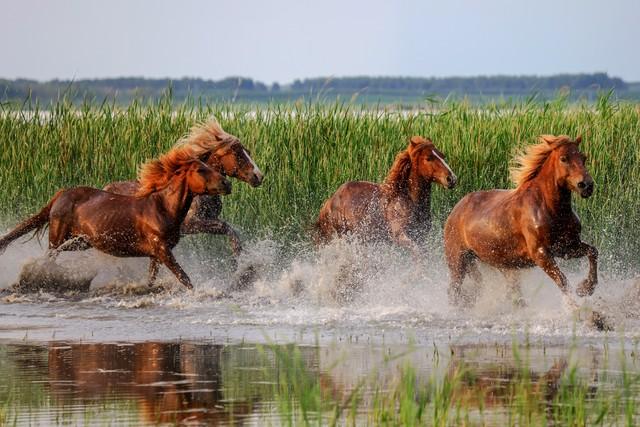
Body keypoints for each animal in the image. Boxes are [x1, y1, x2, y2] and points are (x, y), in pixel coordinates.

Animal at [0, 145, 230, 290]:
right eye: (200, 169)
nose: (227, 184)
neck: (163, 208)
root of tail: (62, 194)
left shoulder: (156, 255)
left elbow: (151, 280)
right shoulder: (162, 250)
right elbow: (184, 278)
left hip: (80, 242)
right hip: (57, 239)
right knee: (48, 258)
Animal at [104, 118, 262, 258]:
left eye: (247, 151)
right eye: (237, 153)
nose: (259, 176)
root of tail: (106, 189)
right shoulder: (190, 224)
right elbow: (226, 227)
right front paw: (239, 258)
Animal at [314, 137, 456, 258]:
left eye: (442, 155)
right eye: (428, 158)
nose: (451, 178)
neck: (408, 201)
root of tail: (329, 202)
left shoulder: (421, 237)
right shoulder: (399, 236)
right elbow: (417, 254)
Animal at [442, 135, 596, 310]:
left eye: (583, 157)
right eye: (564, 158)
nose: (586, 185)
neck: (552, 210)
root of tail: (455, 211)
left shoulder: (566, 247)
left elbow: (592, 252)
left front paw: (586, 288)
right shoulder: (540, 254)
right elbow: (562, 280)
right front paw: (578, 310)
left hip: (502, 264)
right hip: (458, 261)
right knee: (454, 290)